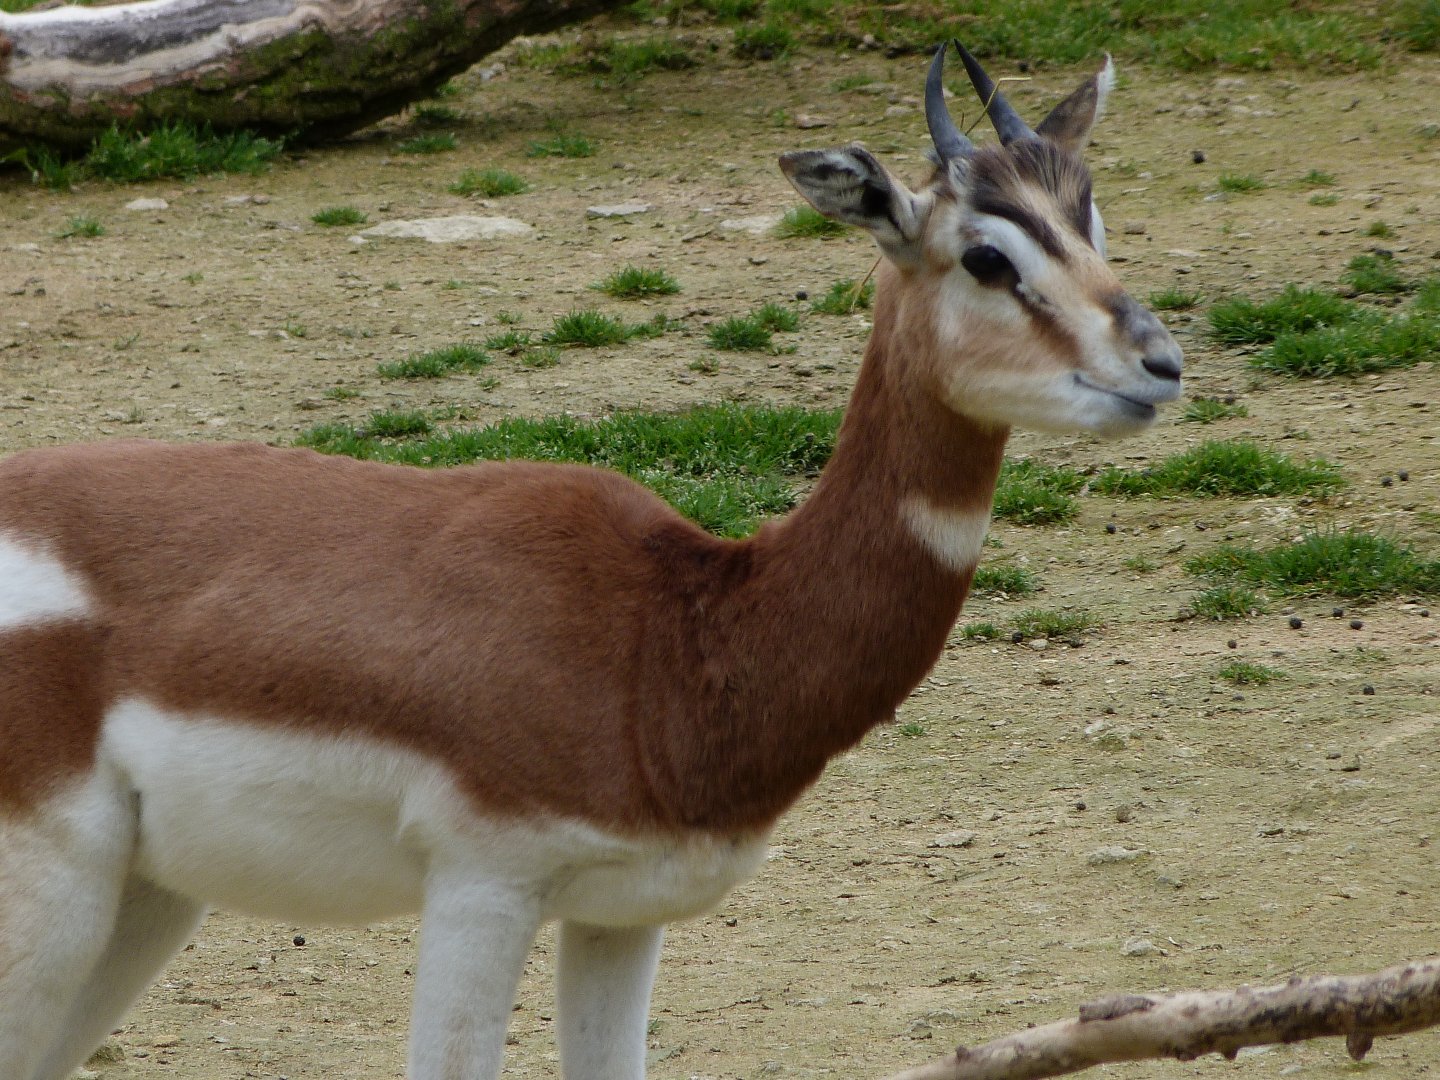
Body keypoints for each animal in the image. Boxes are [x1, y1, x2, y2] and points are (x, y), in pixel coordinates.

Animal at [0, 42, 1181, 1080]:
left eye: (1093, 224)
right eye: (987, 255)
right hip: (56, 890)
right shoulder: (482, 888)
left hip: (146, 897)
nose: (1160, 363)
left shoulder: (624, 916)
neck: (674, 635)